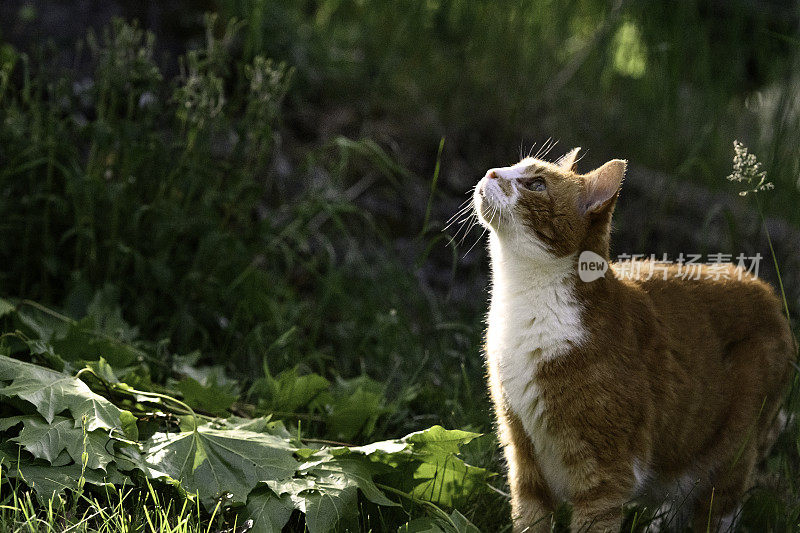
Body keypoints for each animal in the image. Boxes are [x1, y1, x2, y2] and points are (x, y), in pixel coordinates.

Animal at [476, 147, 792, 532]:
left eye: (536, 184)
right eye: (514, 165)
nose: (491, 171)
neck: (523, 304)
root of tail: (768, 293)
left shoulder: (605, 474)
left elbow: (595, 519)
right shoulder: (523, 455)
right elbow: (529, 518)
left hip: (731, 454)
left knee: (718, 506)